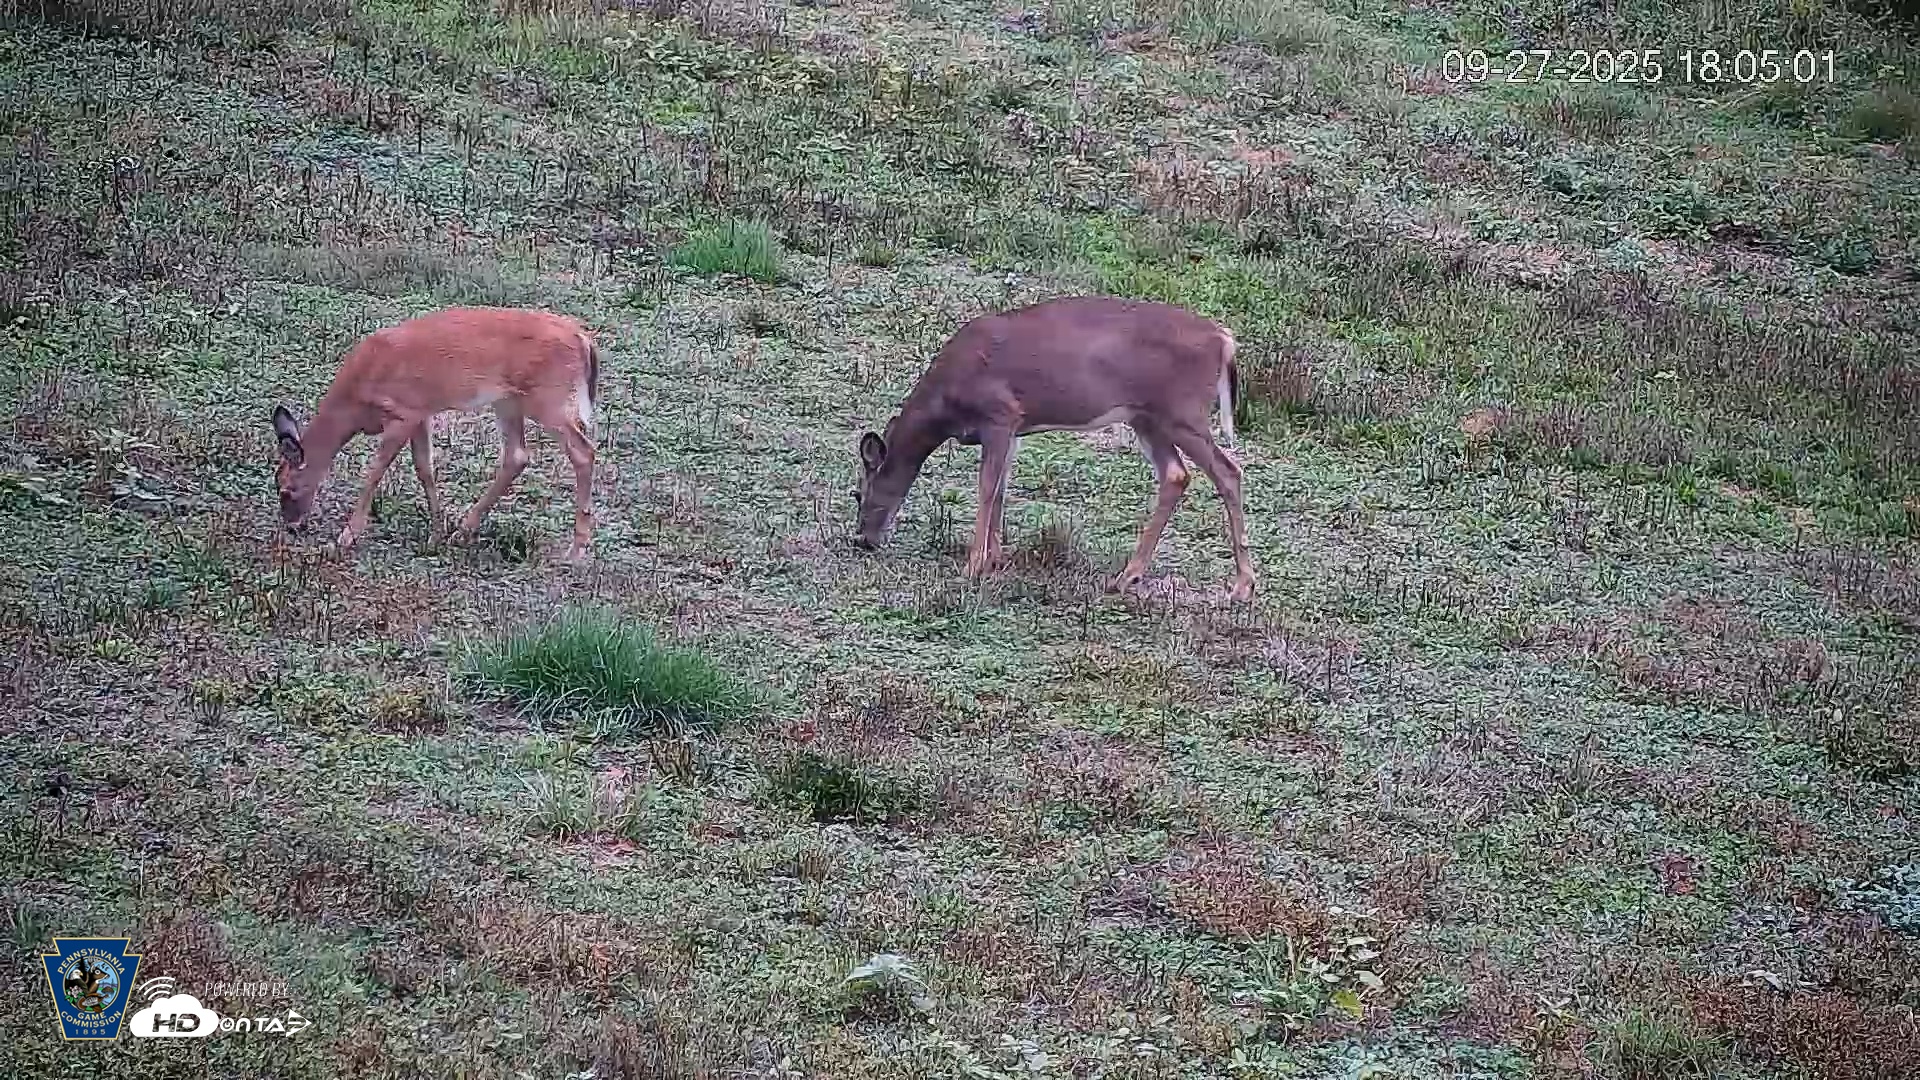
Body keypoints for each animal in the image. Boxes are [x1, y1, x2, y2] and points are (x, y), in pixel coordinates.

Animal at [271, 306, 602, 561]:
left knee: (583, 450)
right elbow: (424, 469)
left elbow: (375, 471)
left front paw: (346, 537)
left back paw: (577, 549)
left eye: (286, 489)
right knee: (517, 455)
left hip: (549, 399)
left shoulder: (403, 413)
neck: (354, 400)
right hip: (509, 401)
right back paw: (462, 532)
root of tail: (584, 339)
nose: (293, 526)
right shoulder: (421, 414)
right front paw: (436, 533)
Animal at [852, 295, 1255, 601]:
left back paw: (1242, 586)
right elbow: (1001, 489)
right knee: (1176, 474)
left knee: (1227, 471)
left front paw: (973, 566)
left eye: (857, 493)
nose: (862, 541)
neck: (945, 403)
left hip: (1182, 412)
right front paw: (994, 559)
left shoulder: (999, 413)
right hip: (1148, 417)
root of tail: (1224, 339)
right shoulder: (1014, 428)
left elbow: (986, 489)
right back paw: (1128, 576)